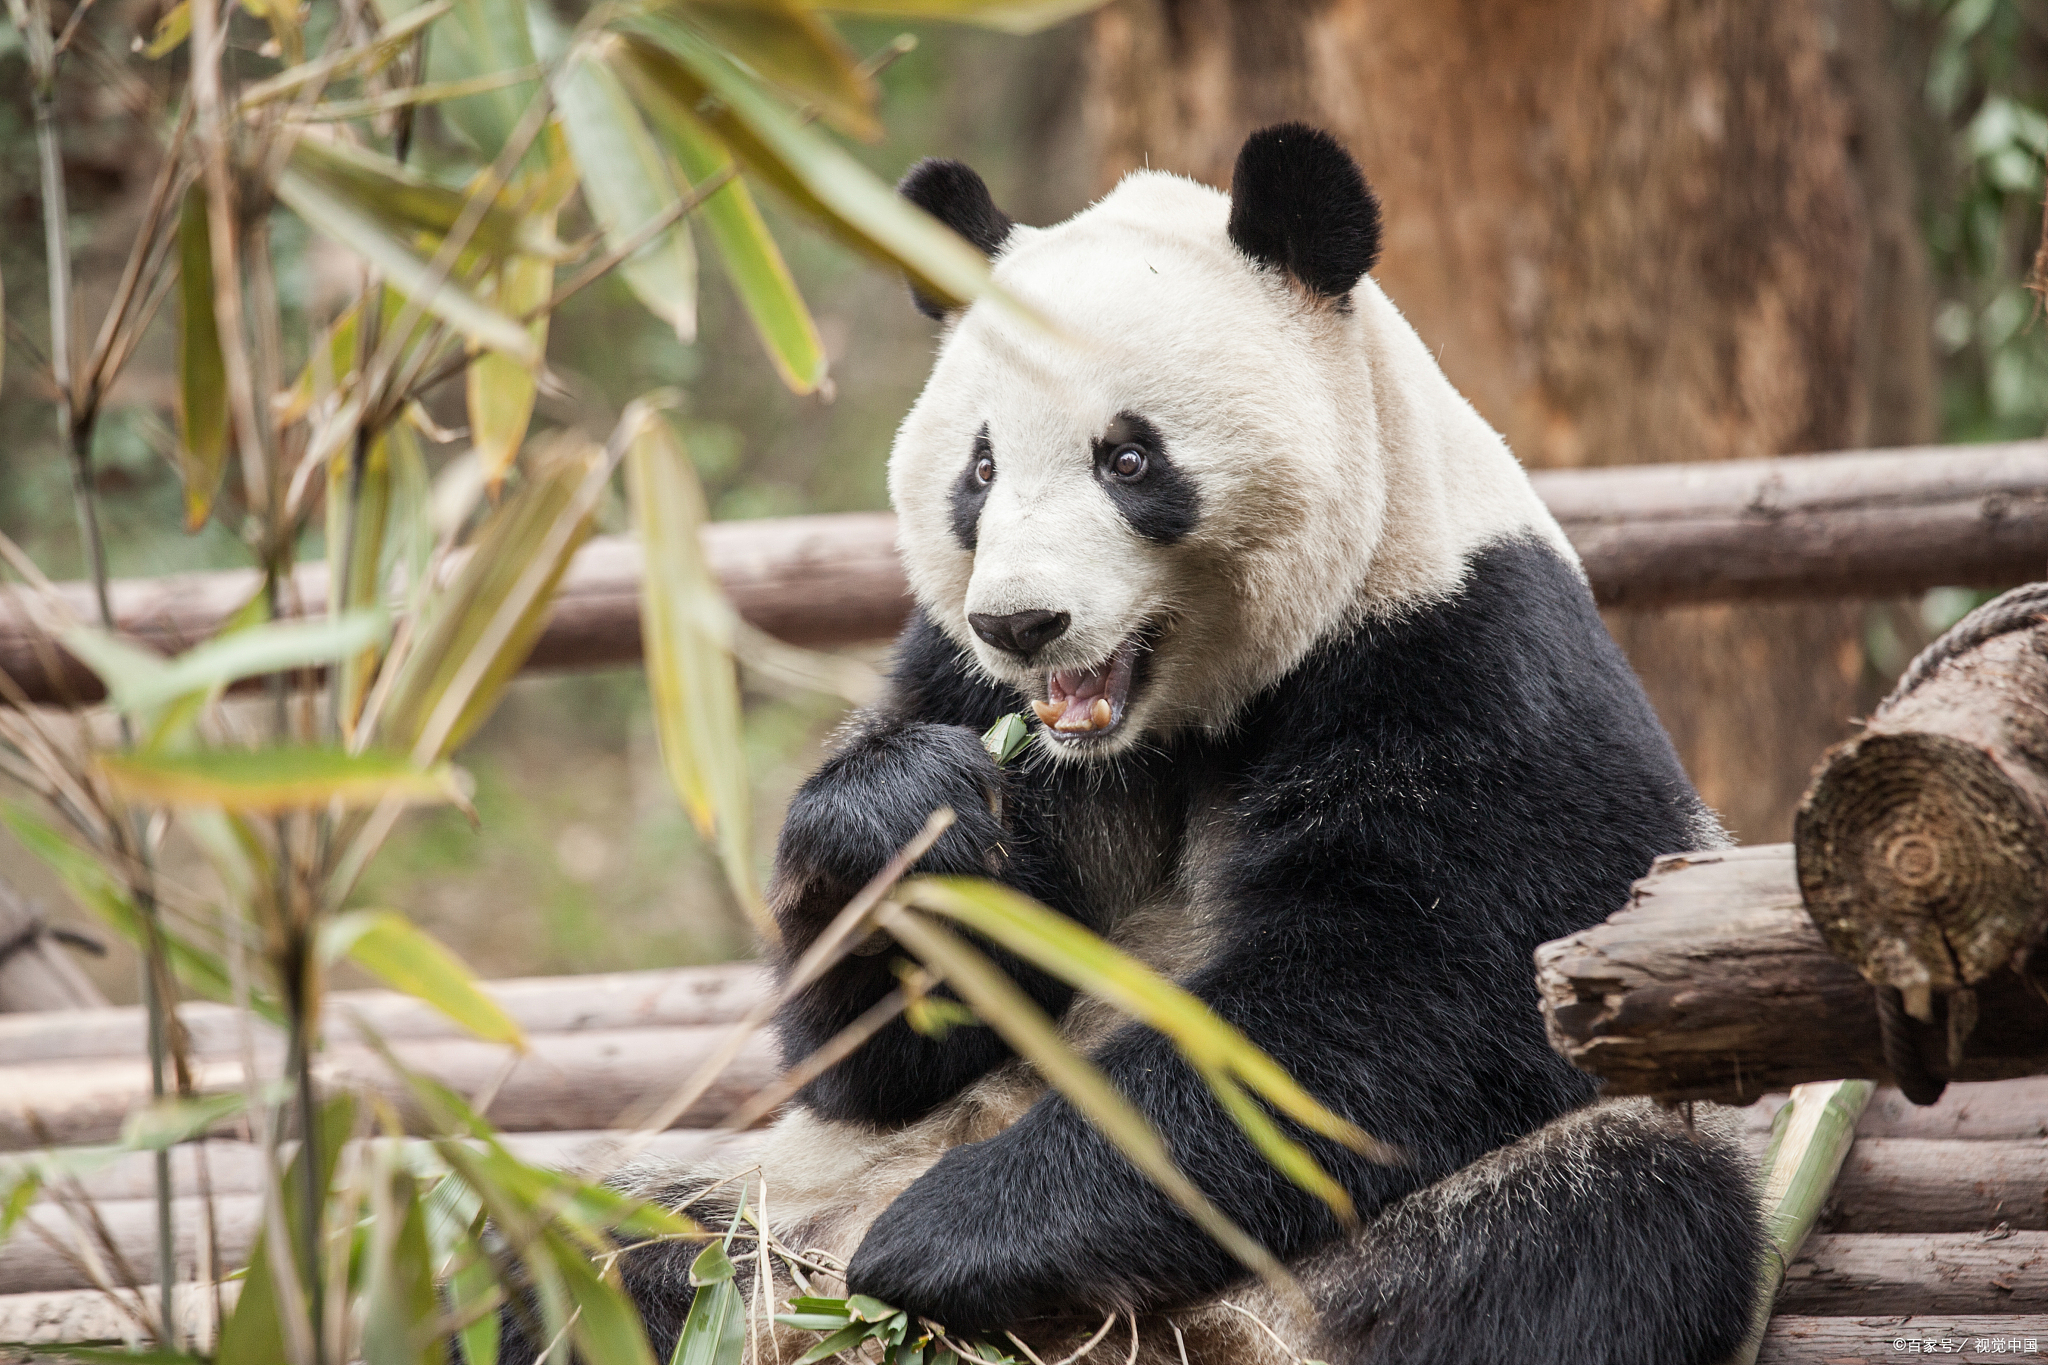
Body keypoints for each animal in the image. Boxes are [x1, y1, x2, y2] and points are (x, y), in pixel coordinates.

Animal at [577, 122, 1761, 1358]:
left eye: (1129, 459)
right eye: (980, 468)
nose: (1022, 623)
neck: (1181, 721)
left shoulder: (1465, 652)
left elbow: (1417, 989)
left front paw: (947, 1240)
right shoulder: (957, 684)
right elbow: (878, 1052)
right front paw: (905, 820)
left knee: (1596, 1223)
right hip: (777, 1205)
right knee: (615, 1248)